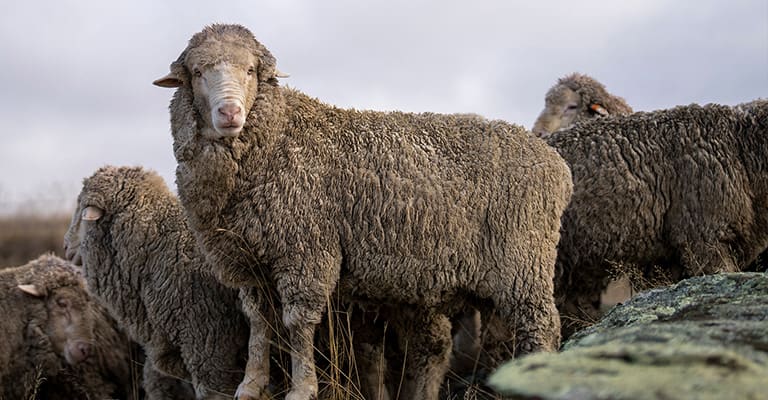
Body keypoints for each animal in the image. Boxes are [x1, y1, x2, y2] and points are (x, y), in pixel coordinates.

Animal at [153, 22, 572, 400]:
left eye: (251, 71)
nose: (230, 112)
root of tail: (555, 162)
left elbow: (297, 323)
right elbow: (259, 323)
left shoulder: (307, 251)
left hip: (523, 260)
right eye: (198, 72)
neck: (277, 138)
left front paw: (301, 389)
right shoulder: (250, 261)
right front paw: (250, 386)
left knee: (541, 327)